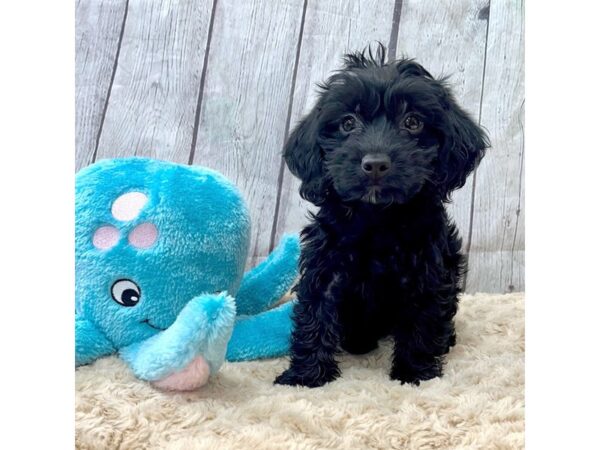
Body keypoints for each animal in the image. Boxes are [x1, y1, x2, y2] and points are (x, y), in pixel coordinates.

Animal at [274, 47, 490, 388]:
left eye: (413, 121)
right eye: (348, 123)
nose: (375, 163)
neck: (377, 219)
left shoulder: (428, 273)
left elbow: (423, 322)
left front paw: (415, 374)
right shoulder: (325, 267)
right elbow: (315, 314)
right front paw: (305, 375)